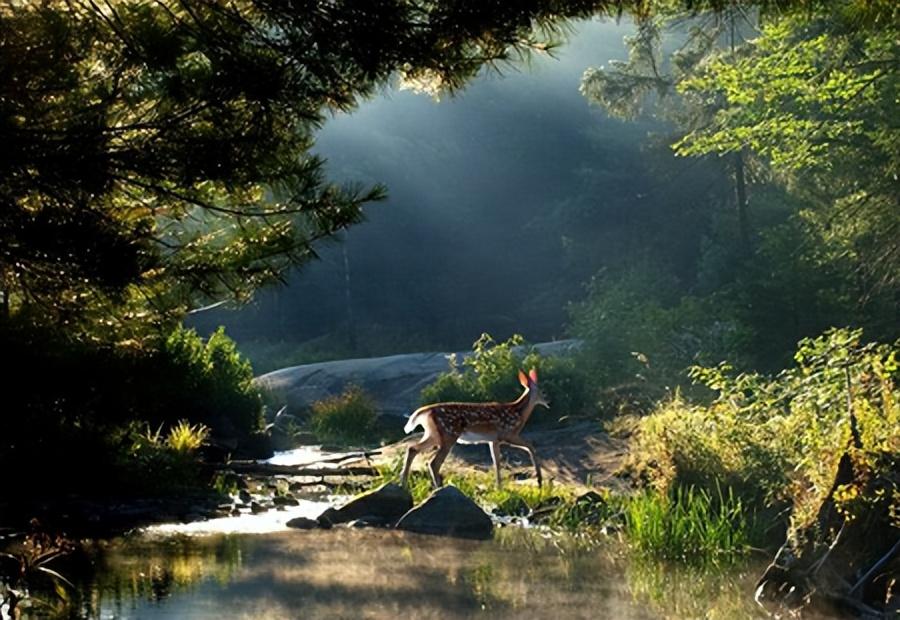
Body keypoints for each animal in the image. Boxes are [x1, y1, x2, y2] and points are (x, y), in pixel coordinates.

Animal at [400, 368, 548, 490]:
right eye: (542, 391)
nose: (549, 400)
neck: (518, 413)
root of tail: (427, 410)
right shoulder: (507, 433)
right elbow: (530, 446)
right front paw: (539, 480)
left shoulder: (493, 440)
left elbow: (497, 462)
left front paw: (499, 487)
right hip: (449, 433)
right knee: (433, 462)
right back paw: (438, 487)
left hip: (434, 434)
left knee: (412, 448)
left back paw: (404, 483)